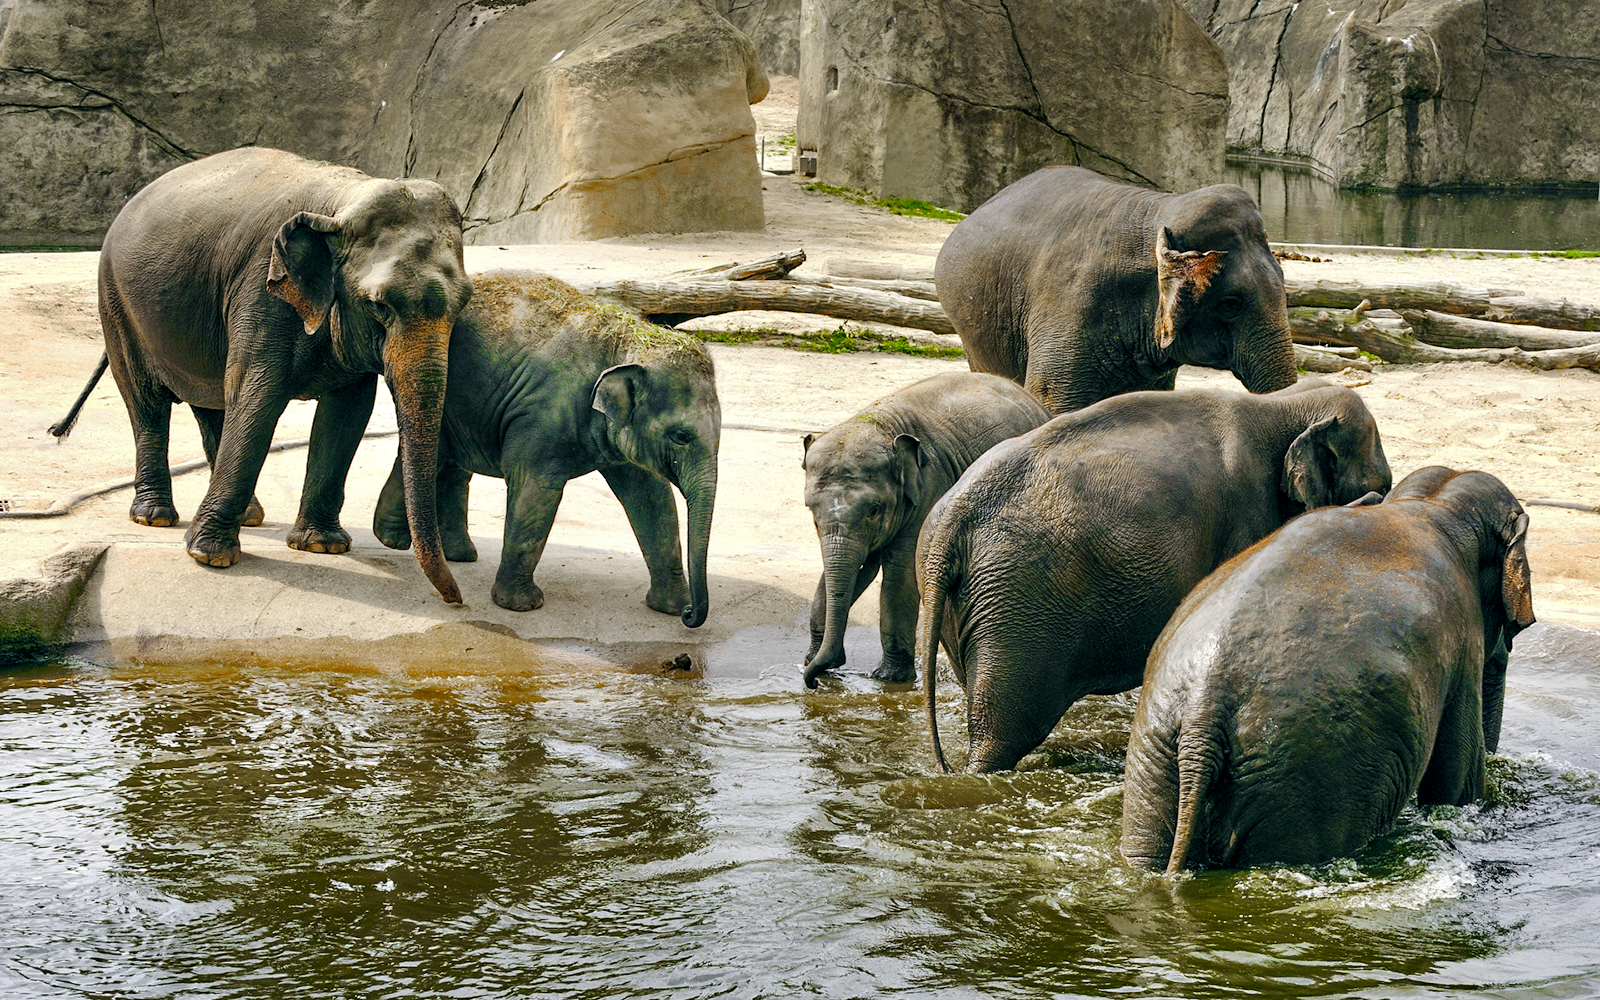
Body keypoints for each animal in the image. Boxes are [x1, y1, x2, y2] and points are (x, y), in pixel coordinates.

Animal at [51, 147, 473, 602]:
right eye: (379, 305)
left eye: (465, 302)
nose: (456, 599)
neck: (342, 202)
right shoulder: (261, 288)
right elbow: (259, 396)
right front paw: (210, 557)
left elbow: (347, 412)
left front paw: (322, 546)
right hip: (117, 305)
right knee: (147, 403)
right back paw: (155, 517)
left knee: (212, 403)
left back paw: (249, 515)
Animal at [373, 271, 719, 625]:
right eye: (681, 436)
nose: (691, 614)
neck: (629, 339)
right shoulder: (543, 415)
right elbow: (535, 491)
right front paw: (521, 605)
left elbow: (652, 498)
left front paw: (671, 607)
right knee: (436, 454)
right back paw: (394, 540)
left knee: (449, 460)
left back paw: (456, 553)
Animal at [802, 372, 1051, 688]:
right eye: (812, 514)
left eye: (873, 511)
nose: (814, 681)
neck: (881, 425)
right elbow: (851, 569)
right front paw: (811, 661)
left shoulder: (929, 488)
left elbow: (900, 573)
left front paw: (890, 678)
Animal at [916, 378, 1393, 774]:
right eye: (1384, 488)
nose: (1376, 499)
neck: (1284, 404)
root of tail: (953, 519)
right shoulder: (1247, 517)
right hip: (1018, 605)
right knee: (1003, 732)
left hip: (971, 602)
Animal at [1120, 466, 1535, 873]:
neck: (1430, 503)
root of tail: (1202, 713)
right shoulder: (1464, 638)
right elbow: (1456, 775)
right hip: (1306, 771)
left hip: (1156, 754)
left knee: (1146, 846)